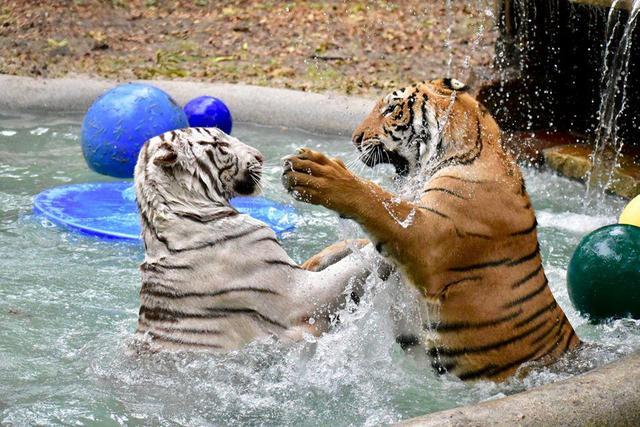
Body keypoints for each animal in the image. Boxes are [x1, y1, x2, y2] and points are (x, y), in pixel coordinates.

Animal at [282, 78, 584, 382]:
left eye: (391, 109)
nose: (356, 139)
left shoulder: (426, 239)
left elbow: (375, 201)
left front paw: (319, 173)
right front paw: (314, 261)